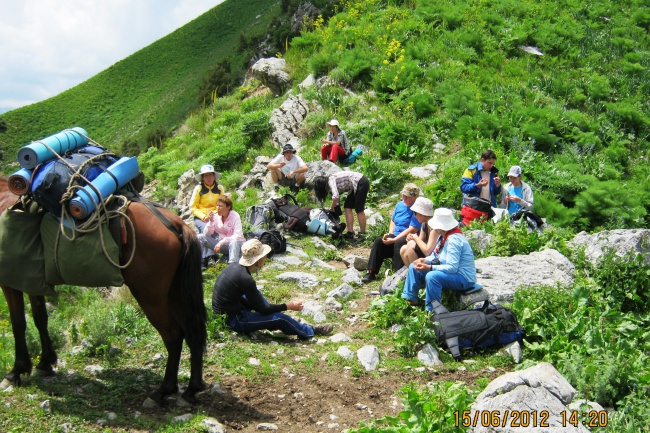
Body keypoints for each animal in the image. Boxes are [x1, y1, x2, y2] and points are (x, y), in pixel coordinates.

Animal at [0, 176, 206, 404]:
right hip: (174, 295)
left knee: (173, 335)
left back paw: (164, 389)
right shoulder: (31, 282)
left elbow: (18, 323)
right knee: (192, 332)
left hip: (151, 297)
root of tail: (176, 225)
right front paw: (45, 362)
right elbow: (40, 318)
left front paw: (16, 371)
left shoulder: (11, 281)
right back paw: (192, 388)